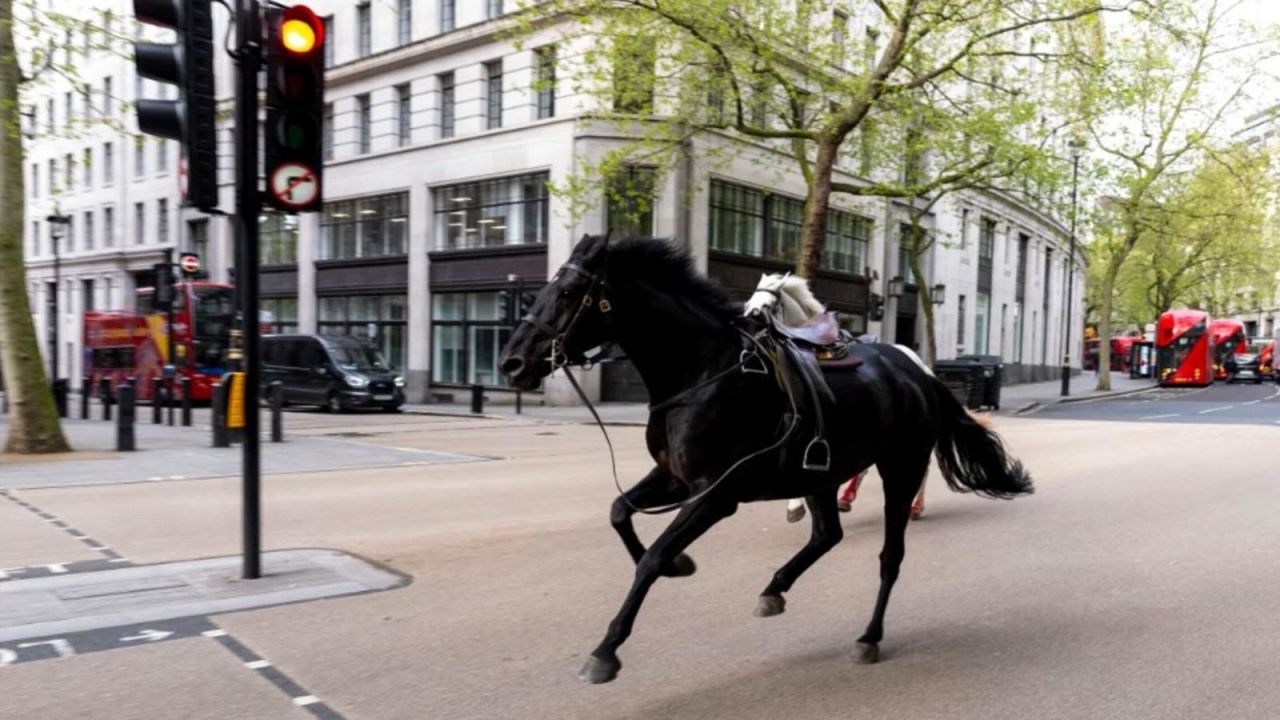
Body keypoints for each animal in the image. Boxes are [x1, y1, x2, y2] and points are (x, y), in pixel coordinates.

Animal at [742, 271, 931, 517]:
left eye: (765, 307)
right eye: (747, 304)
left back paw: (916, 505)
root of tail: (919, 361)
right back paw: (847, 497)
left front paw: (796, 505)